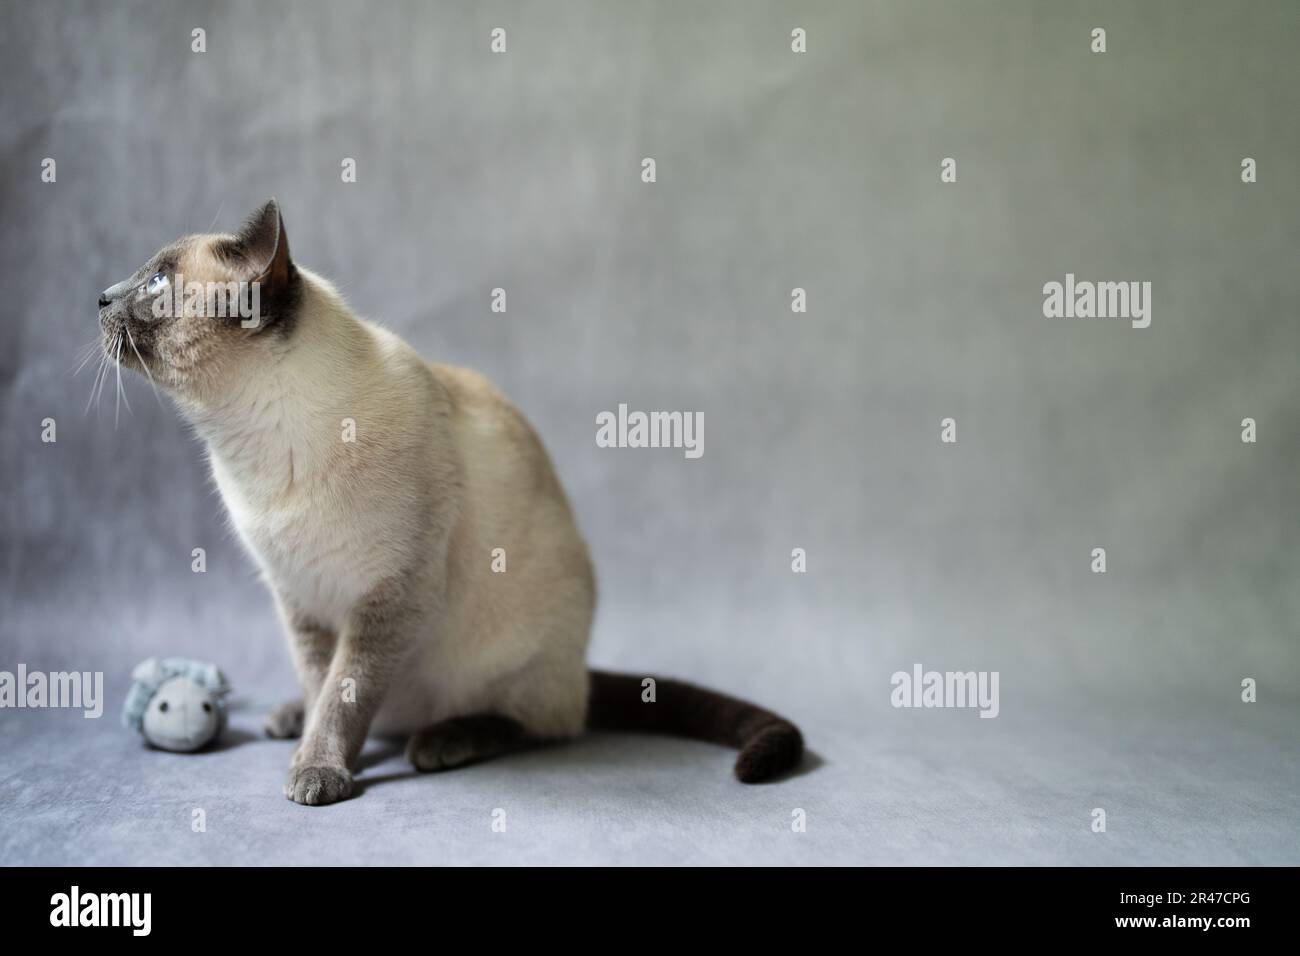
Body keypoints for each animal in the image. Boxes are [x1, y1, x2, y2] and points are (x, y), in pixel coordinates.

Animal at [96, 201, 800, 806]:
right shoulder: (298, 598)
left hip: (516, 654)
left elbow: (344, 697)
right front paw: (308, 742)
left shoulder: (391, 596)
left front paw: (317, 771)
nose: (99, 296)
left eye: (155, 280)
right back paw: (290, 717)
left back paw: (442, 742)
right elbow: (320, 682)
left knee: (542, 724)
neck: (256, 446)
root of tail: (581, 671)